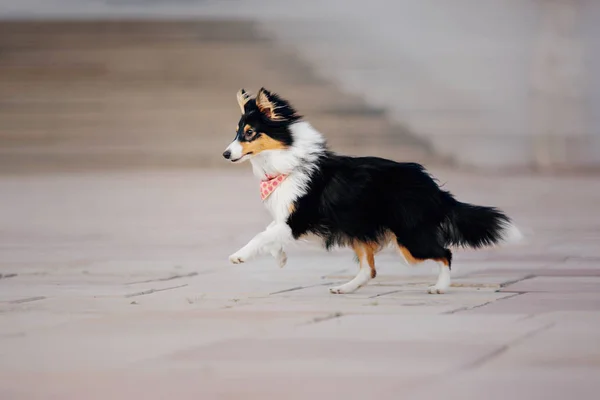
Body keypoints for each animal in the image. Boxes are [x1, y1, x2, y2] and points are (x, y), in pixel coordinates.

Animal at [221, 88, 520, 294]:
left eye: (249, 132)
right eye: (236, 132)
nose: (225, 154)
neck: (288, 162)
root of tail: (432, 187)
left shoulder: (299, 218)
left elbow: (262, 234)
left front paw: (239, 256)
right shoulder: (288, 218)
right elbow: (271, 232)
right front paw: (280, 258)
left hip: (409, 239)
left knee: (445, 253)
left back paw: (439, 287)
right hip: (362, 230)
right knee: (370, 270)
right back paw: (344, 288)